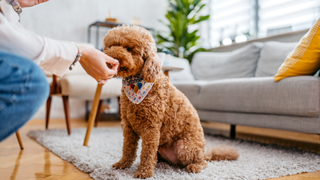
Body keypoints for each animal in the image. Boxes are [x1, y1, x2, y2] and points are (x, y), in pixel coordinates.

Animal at [104, 25, 239, 179]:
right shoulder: (128, 126)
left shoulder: (151, 127)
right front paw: (122, 164)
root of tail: (203, 152)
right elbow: (128, 148)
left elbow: (146, 153)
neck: (136, 83)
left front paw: (144, 172)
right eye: (111, 46)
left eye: (129, 48)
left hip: (184, 147)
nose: (112, 57)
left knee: (202, 162)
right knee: (159, 157)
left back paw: (194, 166)